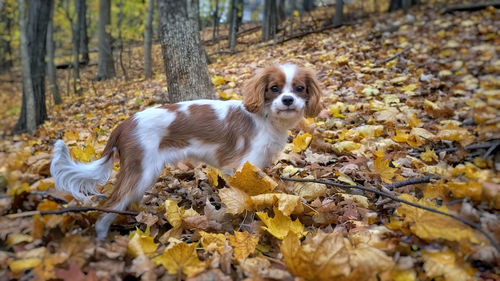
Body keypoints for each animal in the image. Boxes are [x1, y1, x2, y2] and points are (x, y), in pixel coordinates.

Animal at [50, 64, 322, 238]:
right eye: (274, 88)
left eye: (299, 88)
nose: (288, 100)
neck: (265, 117)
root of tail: (125, 123)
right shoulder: (239, 166)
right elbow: (244, 197)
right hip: (141, 170)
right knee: (111, 204)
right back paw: (101, 238)